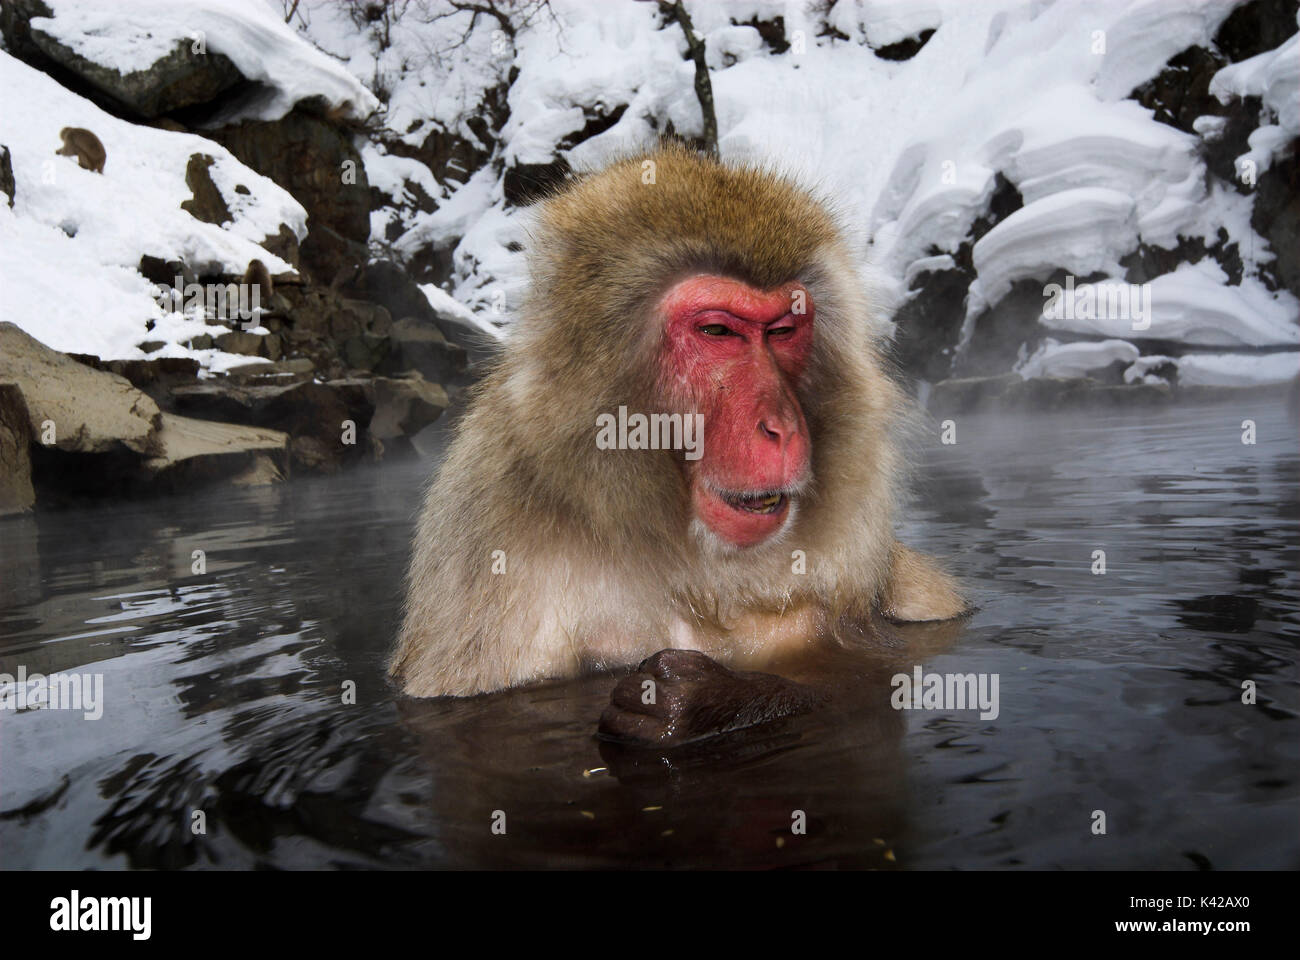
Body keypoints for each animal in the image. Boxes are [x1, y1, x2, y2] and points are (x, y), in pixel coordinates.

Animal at [390, 143, 968, 742]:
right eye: (718, 332)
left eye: (783, 331)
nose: (782, 427)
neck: (694, 568)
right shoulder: (488, 555)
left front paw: (709, 701)